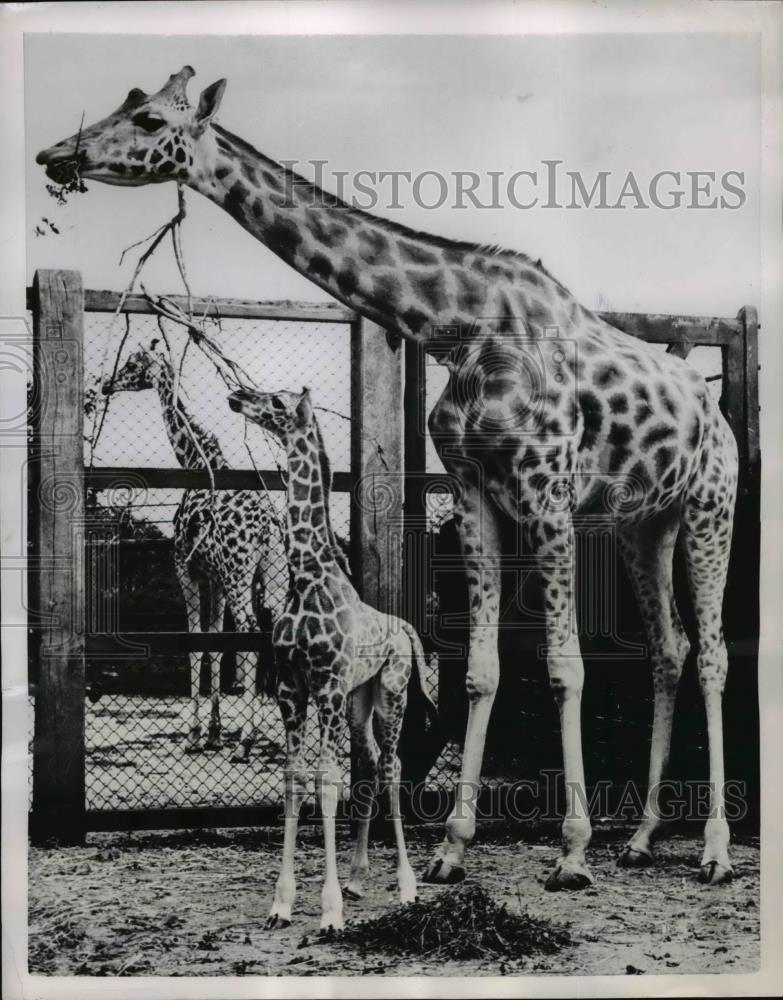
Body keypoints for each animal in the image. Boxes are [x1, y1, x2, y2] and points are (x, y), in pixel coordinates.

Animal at [102, 340, 288, 760]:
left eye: (132, 363)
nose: (106, 384)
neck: (195, 461)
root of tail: (268, 525)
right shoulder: (214, 576)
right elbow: (215, 644)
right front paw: (215, 734)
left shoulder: (185, 567)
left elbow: (195, 642)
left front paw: (194, 735)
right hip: (271, 576)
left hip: (240, 574)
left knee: (251, 632)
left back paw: (247, 741)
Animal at [230, 386, 434, 932]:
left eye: (278, 403)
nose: (238, 395)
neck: (306, 578)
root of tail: (406, 629)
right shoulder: (290, 686)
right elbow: (293, 781)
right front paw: (281, 904)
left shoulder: (326, 686)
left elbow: (326, 783)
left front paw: (329, 910)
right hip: (359, 701)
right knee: (369, 762)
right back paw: (360, 877)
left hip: (391, 692)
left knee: (392, 764)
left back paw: (406, 887)